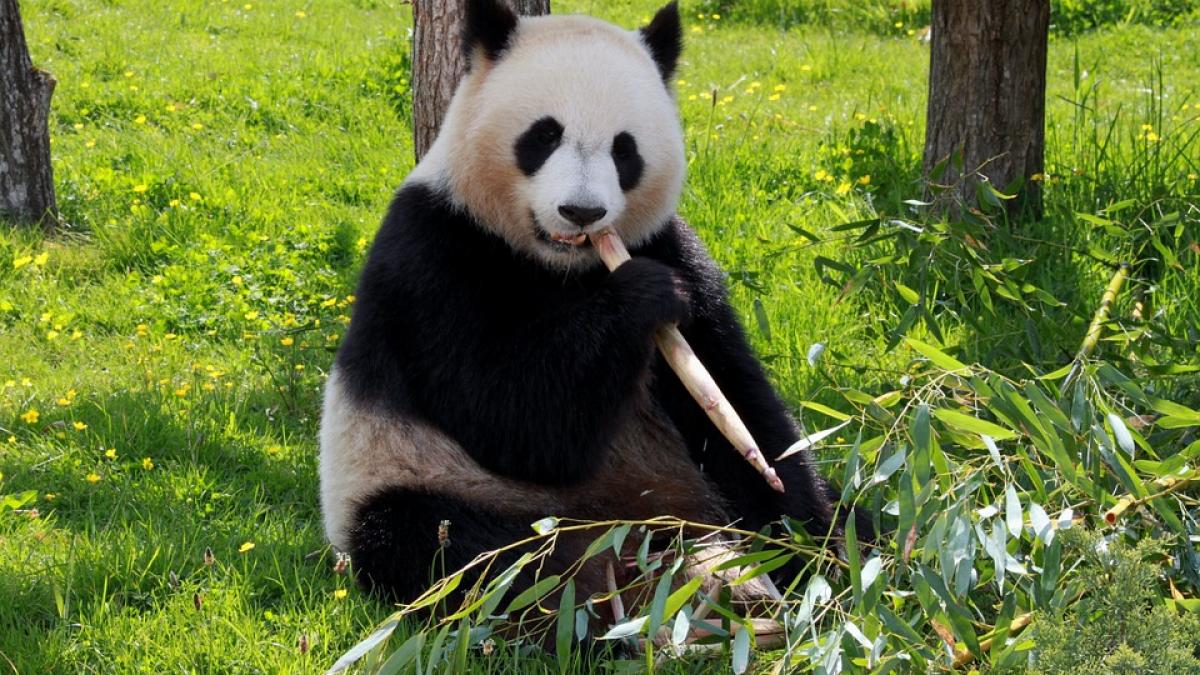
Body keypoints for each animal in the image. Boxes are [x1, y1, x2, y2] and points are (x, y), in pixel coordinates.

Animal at [320, 0, 848, 607]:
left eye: (625, 149)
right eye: (544, 136)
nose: (581, 212)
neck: (561, 266)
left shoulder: (671, 245)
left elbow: (736, 403)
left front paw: (807, 545)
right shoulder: (432, 253)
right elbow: (512, 417)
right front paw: (643, 296)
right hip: (422, 479)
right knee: (457, 551)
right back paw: (613, 597)